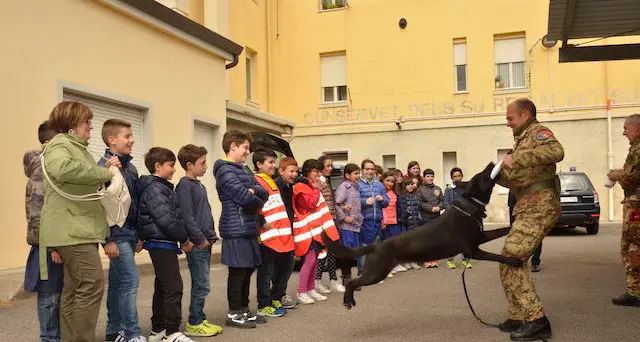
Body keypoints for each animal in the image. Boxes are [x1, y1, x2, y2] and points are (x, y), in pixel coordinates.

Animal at [322, 162, 524, 308]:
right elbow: (497, 256)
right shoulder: (472, 250)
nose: (491, 163)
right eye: (482, 175)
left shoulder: (480, 238)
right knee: (352, 282)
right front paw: (514, 261)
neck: (467, 207)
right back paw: (348, 300)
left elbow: (500, 230)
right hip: (375, 273)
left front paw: (514, 224)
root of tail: (376, 245)